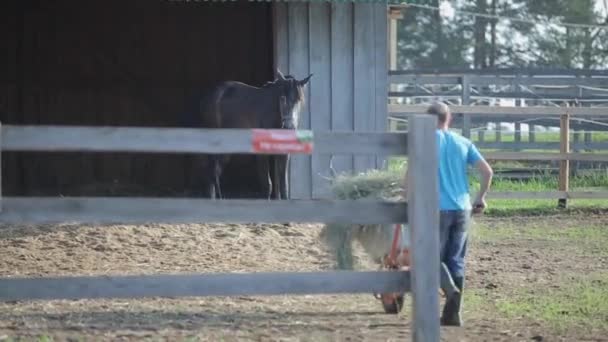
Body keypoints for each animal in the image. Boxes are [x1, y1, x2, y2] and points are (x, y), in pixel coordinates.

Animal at [198, 69, 314, 200]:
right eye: (282, 98)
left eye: (299, 100)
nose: (289, 127)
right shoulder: (262, 153)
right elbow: (268, 185)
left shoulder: (284, 152)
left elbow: (284, 186)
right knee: (212, 173)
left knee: (214, 172)